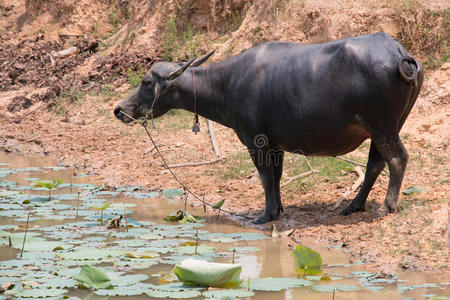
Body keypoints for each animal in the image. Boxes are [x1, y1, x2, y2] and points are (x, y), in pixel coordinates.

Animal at [114, 34, 424, 224]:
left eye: (145, 82)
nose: (119, 109)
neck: (228, 83)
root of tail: (399, 53)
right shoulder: (276, 144)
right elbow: (276, 176)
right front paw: (278, 209)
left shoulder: (255, 140)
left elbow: (264, 177)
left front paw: (265, 215)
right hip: (387, 127)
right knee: (376, 163)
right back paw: (353, 205)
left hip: (382, 126)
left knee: (397, 158)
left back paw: (386, 206)